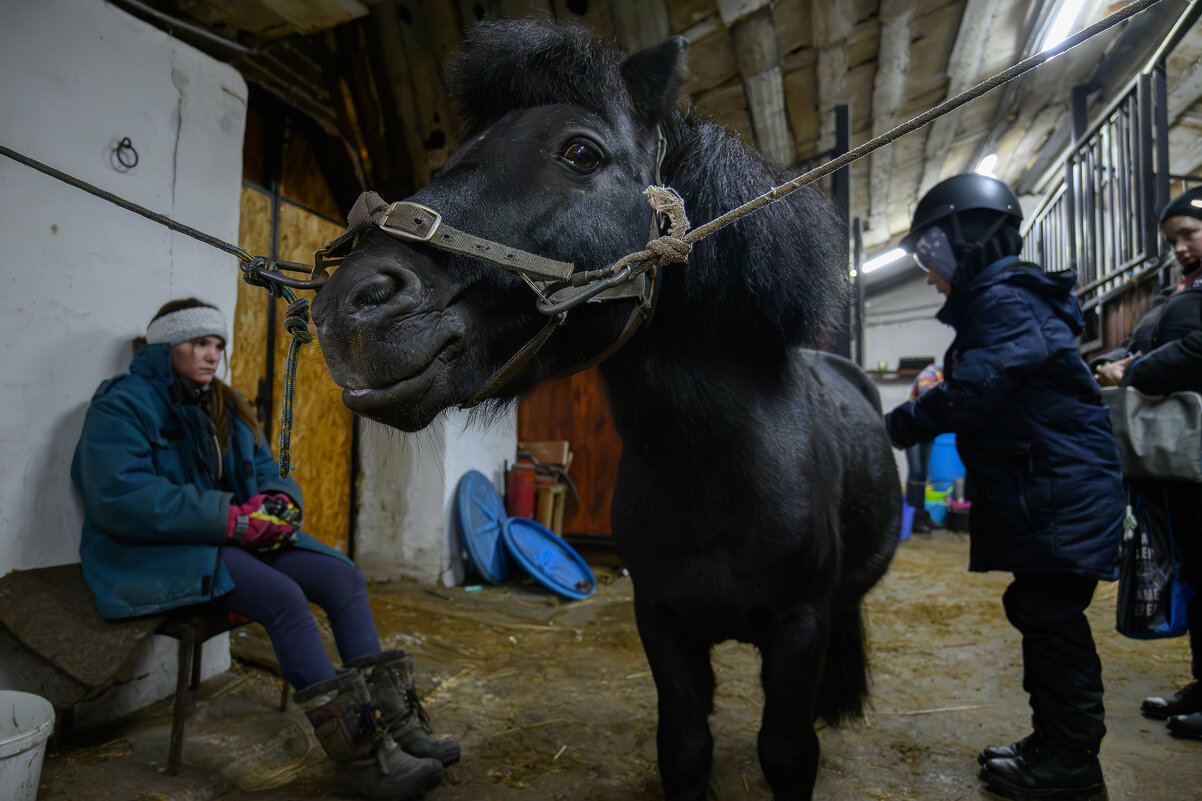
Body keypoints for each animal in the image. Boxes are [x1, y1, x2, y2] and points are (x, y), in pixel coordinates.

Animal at [314, 20, 899, 798]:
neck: (715, 478)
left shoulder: (799, 627)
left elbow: (786, 749)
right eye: (457, 155)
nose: (349, 308)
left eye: (581, 153)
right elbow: (683, 745)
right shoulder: (660, 620)